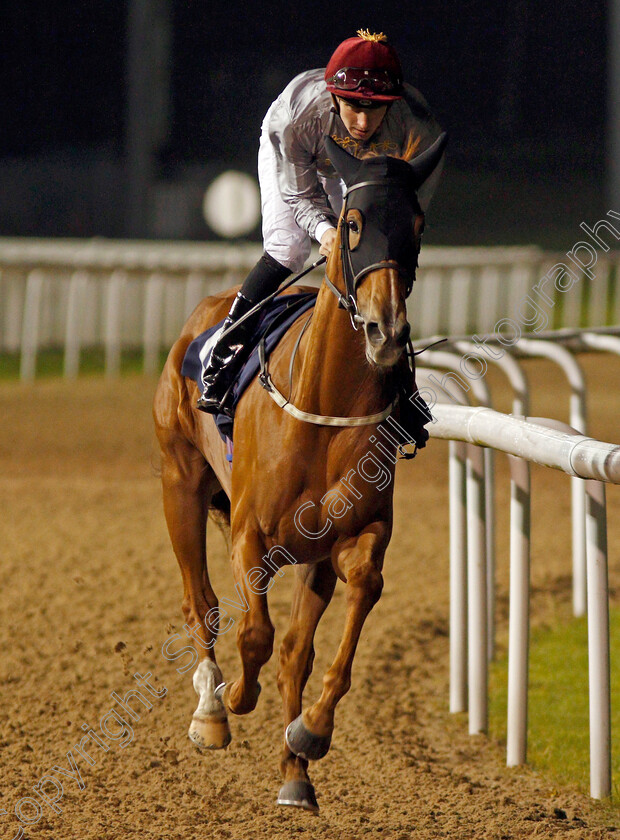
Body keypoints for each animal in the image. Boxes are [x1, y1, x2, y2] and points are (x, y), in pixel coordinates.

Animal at [153, 133, 448, 812]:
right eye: (352, 222)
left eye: (417, 226)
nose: (385, 331)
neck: (325, 409)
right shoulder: (250, 532)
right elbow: (253, 635)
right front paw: (235, 699)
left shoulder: (352, 537)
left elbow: (342, 613)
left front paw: (308, 735)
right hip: (179, 484)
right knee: (201, 603)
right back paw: (211, 709)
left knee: (293, 648)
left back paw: (294, 771)